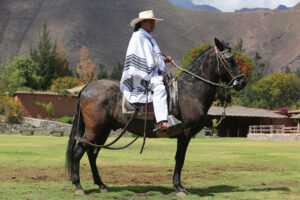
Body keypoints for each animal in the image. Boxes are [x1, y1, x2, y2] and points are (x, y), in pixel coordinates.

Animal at [65, 37, 246, 195]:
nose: (242, 82)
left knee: (92, 154)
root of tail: (87, 87)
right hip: (94, 130)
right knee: (78, 152)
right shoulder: (185, 134)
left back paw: (101, 185)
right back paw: (78, 186)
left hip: (103, 130)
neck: (189, 91)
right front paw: (179, 187)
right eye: (230, 60)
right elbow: (180, 159)